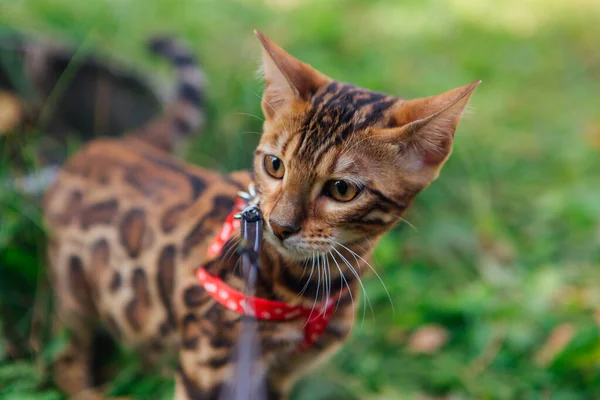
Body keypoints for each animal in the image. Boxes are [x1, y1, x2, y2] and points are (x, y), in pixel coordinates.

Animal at [43, 32, 478, 400]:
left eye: (342, 190)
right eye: (274, 165)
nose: (279, 226)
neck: (305, 289)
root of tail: (111, 142)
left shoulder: (279, 374)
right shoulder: (205, 370)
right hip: (71, 298)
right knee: (64, 357)